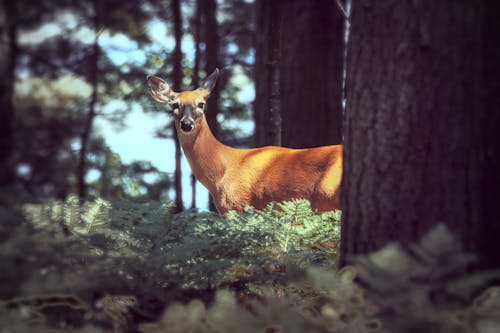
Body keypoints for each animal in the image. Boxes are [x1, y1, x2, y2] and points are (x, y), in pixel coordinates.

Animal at [146, 68, 342, 214]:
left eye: (201, 103)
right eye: (174, 105)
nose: (187, 124)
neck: (222, 171)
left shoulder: (239, 205)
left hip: (327, 199)